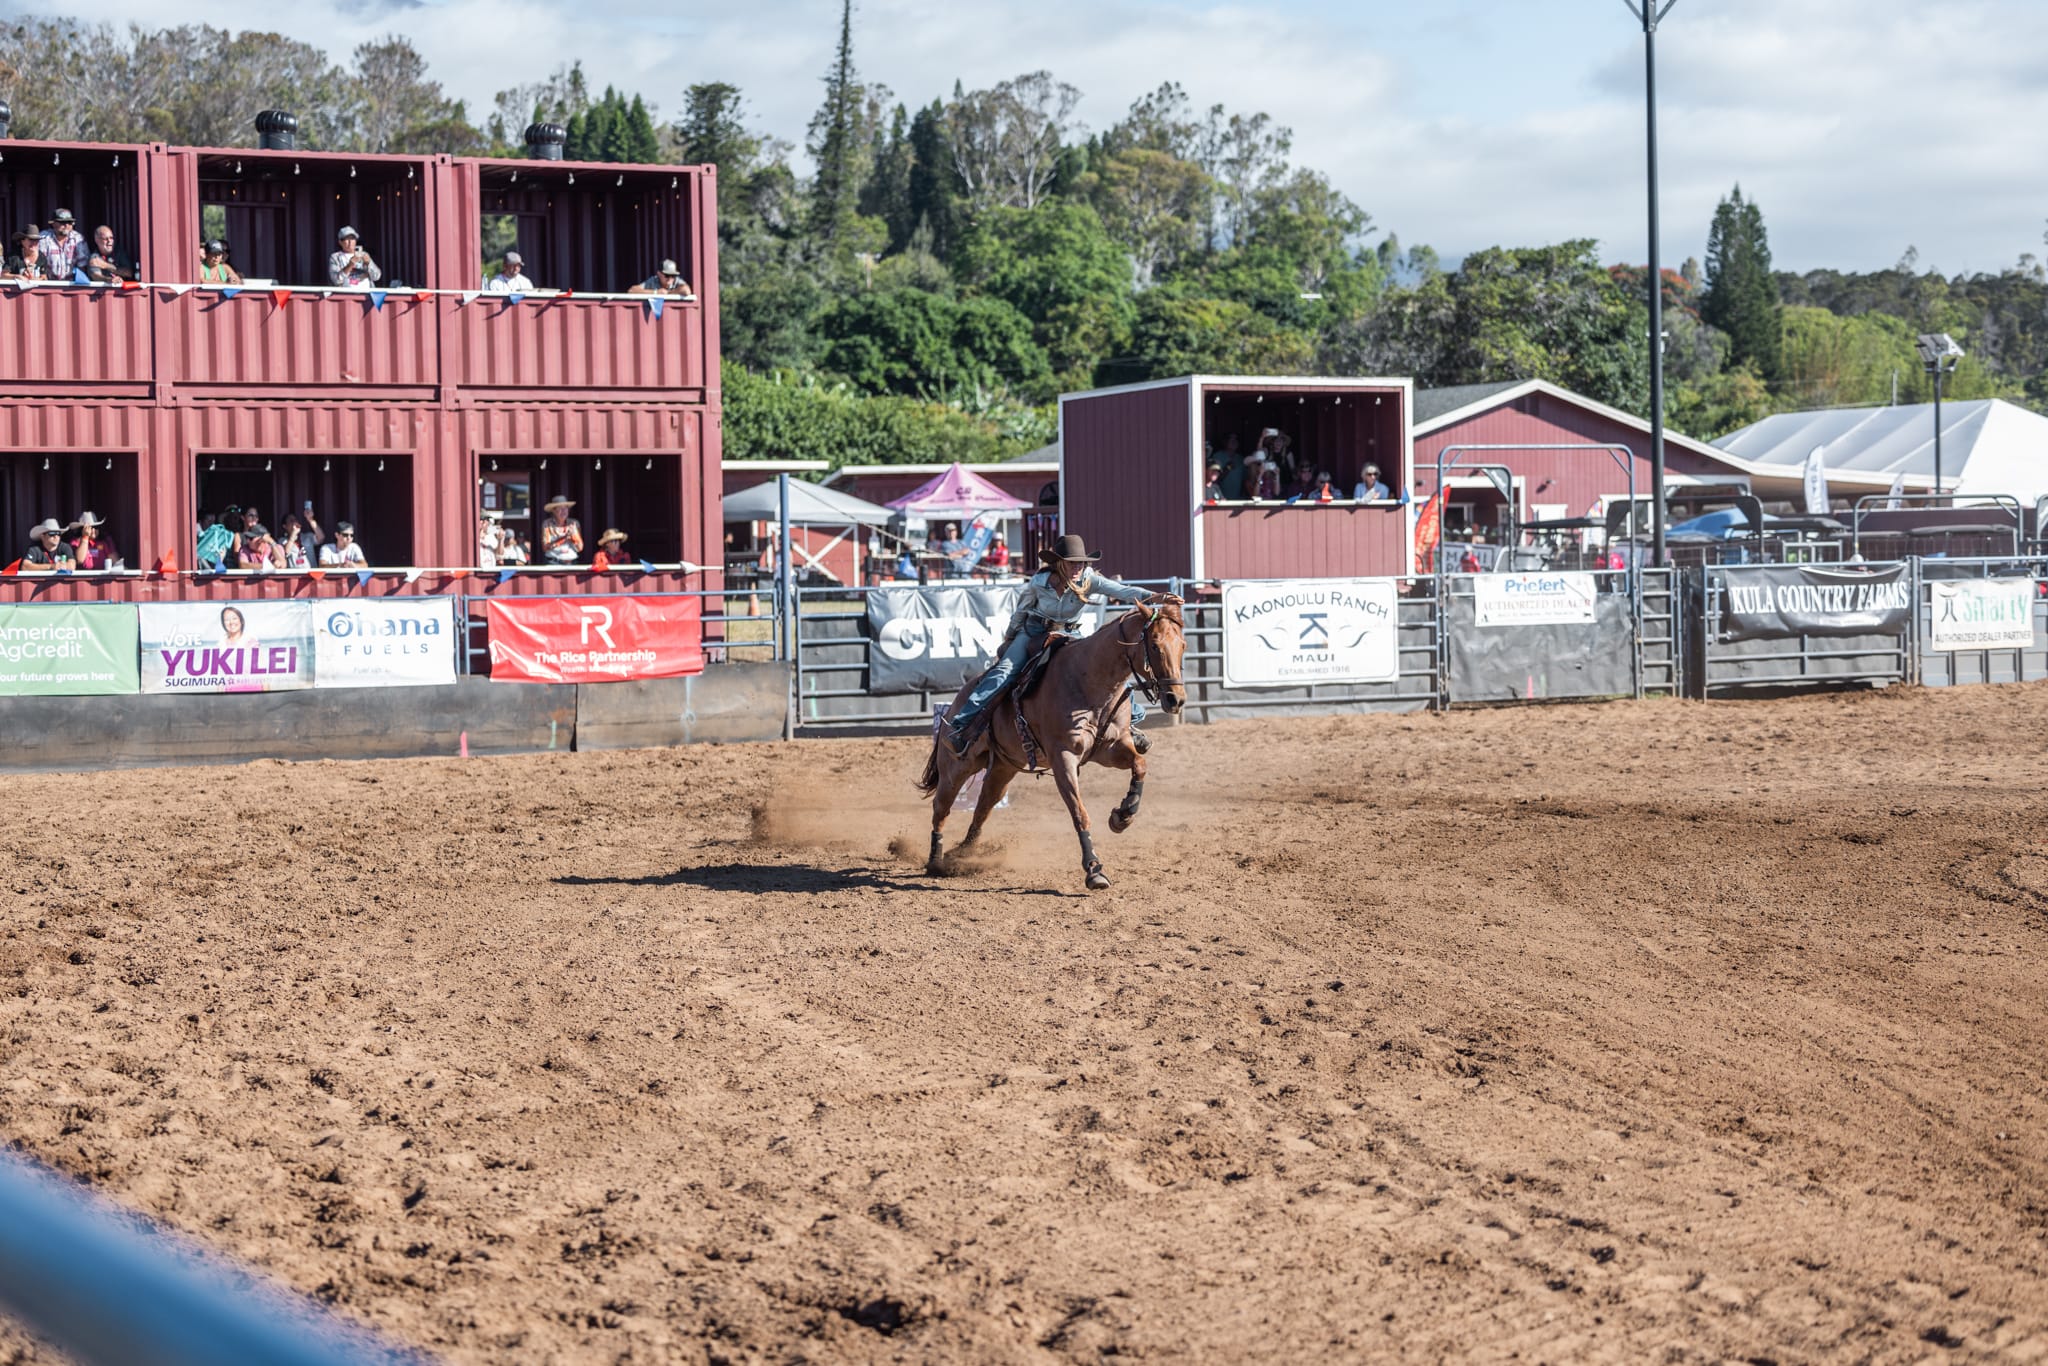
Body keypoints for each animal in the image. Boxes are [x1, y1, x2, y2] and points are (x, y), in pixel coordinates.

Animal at [916, 598, 1187, 890]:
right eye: (1155, 645)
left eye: (1183, 645)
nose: (1176, 699)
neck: (1090, 680)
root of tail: (956, 701)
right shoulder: (1063, 758)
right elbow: (1079, 812)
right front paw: (1094, 870)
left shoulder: (1111, 748)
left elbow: (1140, 764)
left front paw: (1123, 815)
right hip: (955, 769)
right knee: (941, 808)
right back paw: (936, 860)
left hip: (1003, 768)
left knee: (983, 806)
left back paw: (963, 854)